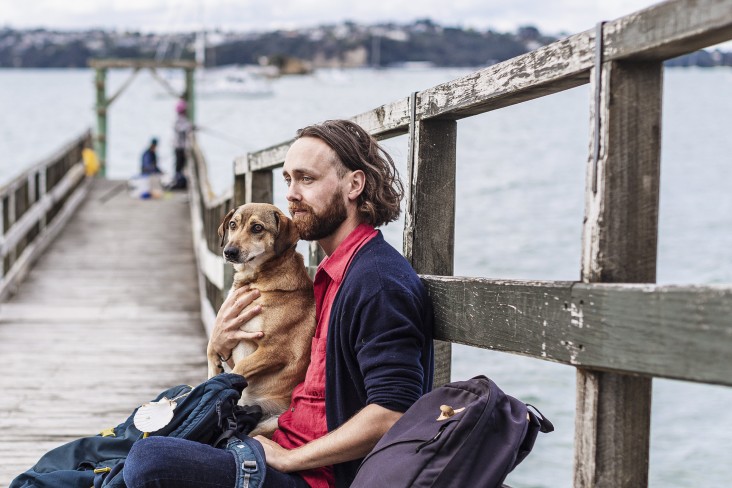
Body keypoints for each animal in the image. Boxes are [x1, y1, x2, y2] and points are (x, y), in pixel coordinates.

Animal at [206, 200, 314, 436]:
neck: (254, 280)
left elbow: (239, 370)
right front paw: (213, 372)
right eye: (233, 224)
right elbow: (211, 347)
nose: (229, 251)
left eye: (257, 228)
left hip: (268, 424)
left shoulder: (275, 349)